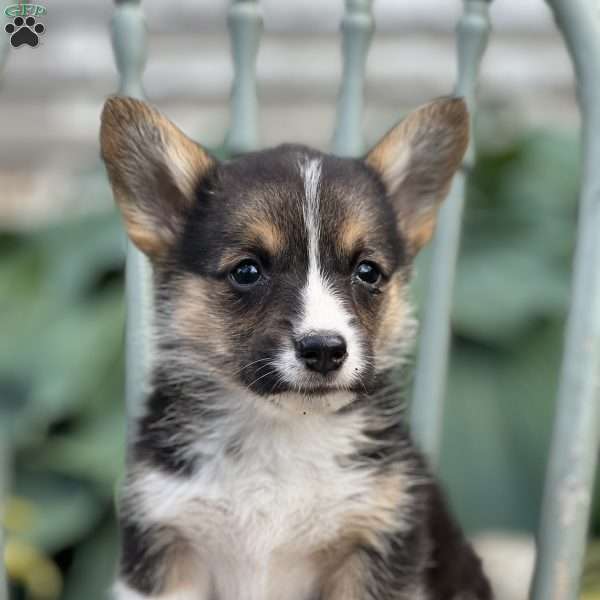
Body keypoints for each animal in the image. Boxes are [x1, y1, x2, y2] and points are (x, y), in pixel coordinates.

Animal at [99, 95, 492, 600]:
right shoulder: (165, 543)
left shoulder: (376, 544)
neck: (283, 429)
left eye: (368, 272)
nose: (324, 349)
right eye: (247, 271)